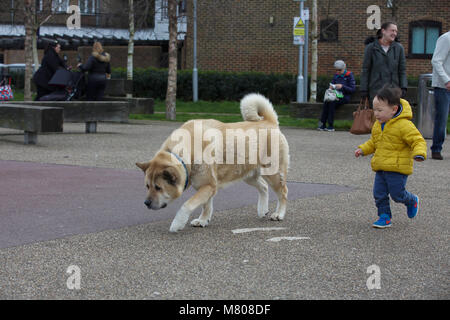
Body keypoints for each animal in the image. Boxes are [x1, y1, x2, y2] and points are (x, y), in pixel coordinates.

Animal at [136, 92, 288, 232]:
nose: (146, 203)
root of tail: (270, 121)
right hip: (248, 175)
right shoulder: (207, 186)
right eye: (147, 186)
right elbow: (206, 206)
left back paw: (279, 214)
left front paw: (177, 224)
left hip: (272, 174)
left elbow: (187, 205)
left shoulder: (208, 185)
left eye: (158, 187)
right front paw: (203, 220)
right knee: (264, 187)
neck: (185, 152)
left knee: (283, 192)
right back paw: (262, 210)